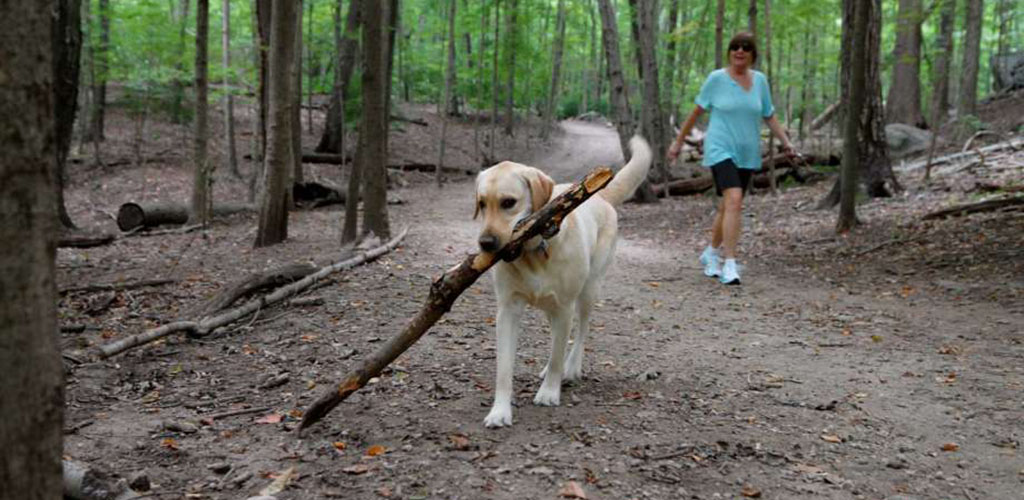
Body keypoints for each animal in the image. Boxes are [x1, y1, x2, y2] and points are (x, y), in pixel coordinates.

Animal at [475, 135, 651, 428]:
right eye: (481, 204)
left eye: (508, 202)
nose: (485, 244)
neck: (534, 252)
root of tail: (600, 195)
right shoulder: (507, 311)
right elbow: (504, 367)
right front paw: (499, 411)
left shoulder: (565, 307)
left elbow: (559, 352)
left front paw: (549, 391)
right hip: (553, 307)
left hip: (588, 292)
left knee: (580, 332)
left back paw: (572, 368)